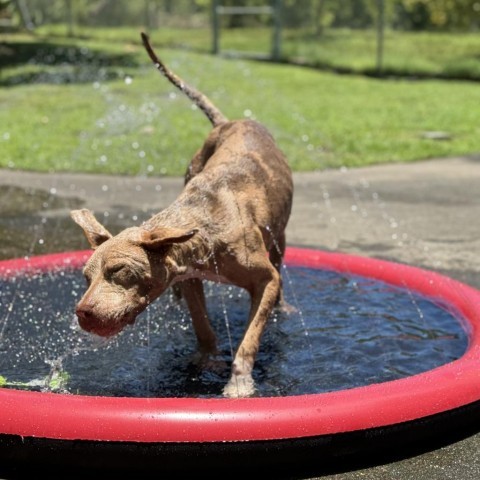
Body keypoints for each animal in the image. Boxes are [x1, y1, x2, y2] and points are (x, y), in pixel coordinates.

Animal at [71, 31, 292, 396]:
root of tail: (230, 122)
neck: (202, 223)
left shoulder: (264, 279)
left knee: (280, 266)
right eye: (87, 278)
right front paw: (206, 359)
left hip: (279, 236)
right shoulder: (187, 274)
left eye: (119, 271)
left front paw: (239, 382)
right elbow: (201, 323)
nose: (82, 312)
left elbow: (250, 337)